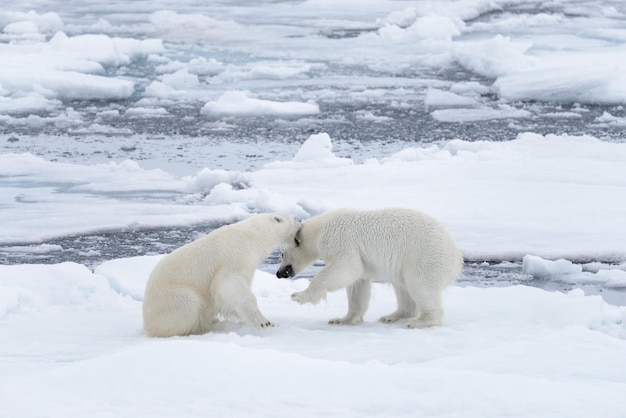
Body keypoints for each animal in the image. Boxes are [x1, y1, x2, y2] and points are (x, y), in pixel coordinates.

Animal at [144, 214, 300, 338]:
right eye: (294, 219)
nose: (300, 222)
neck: (252, 235)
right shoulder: (234, 257)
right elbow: (229, 284)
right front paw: (263, 322)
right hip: (171, 297)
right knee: (190, 303)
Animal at [276, 207, 460, 328]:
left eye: (282, 254)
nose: (279, 273)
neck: (319, 229)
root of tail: (457, 257)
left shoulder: (339, 239)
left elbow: (346, 266)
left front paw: (299, 296)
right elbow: (358, 285)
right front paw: (342, 320)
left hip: (423, 256)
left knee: (421, 286)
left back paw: (422, 321)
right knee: (402, 287)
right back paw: (392, 316)